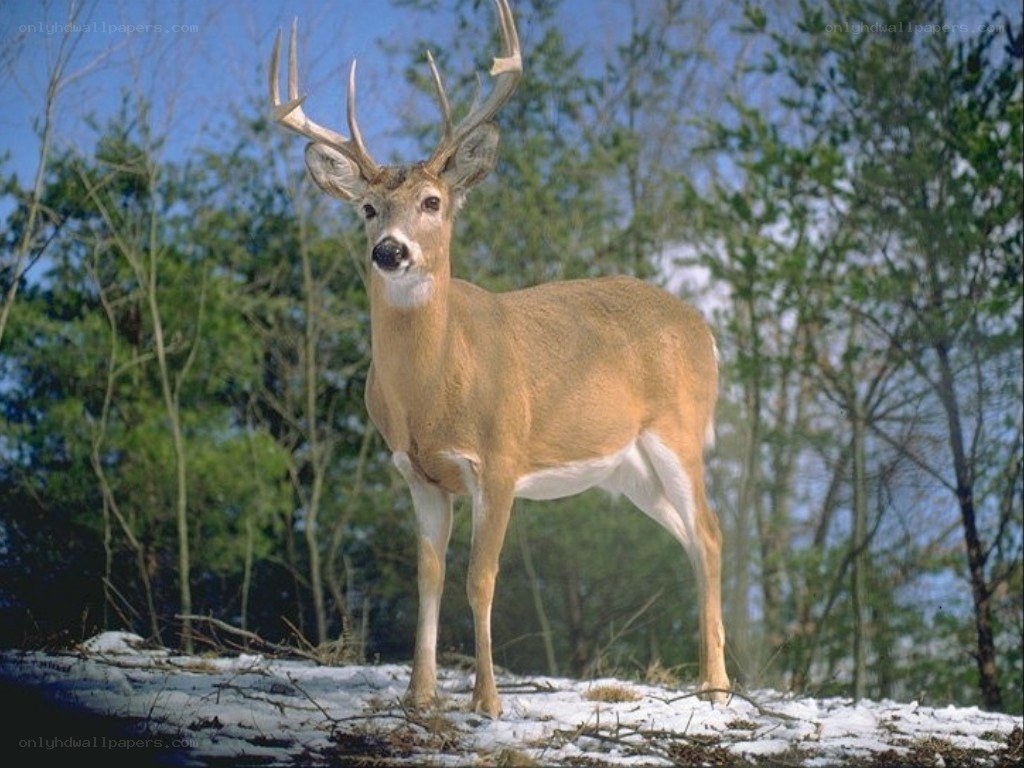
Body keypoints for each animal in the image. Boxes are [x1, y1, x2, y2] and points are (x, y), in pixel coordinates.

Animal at [269, 0, 729, 718]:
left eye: (432, 202)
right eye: (368, 208)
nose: (390, 251)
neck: (433, 389)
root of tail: (703, 329)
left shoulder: (502, 457)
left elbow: (480, 579)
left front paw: (487, 701)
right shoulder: (417, 473)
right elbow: (429, 578)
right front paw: (419, 695)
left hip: (677, 433)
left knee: (709, 534)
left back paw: (717, 688)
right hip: (628, 470)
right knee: (691, 535)